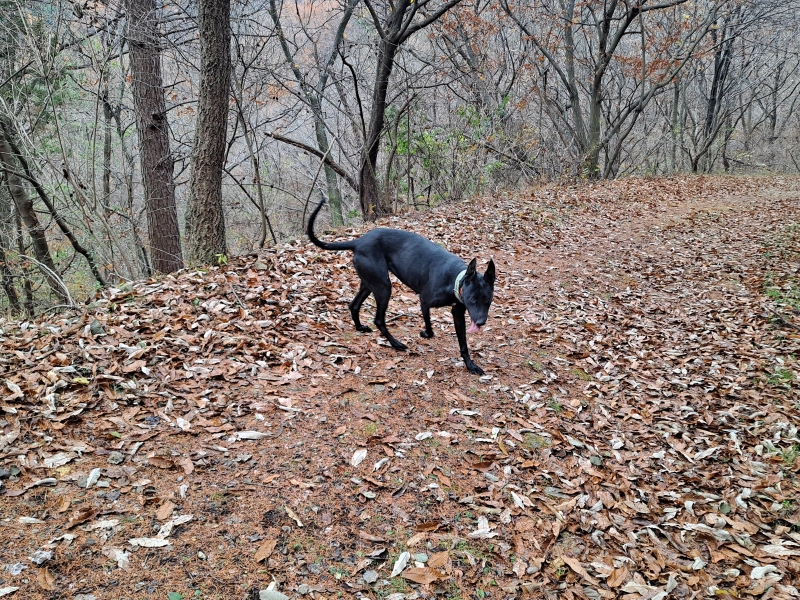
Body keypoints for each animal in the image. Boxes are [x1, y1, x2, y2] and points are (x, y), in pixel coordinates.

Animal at [307, 198, 495, 375]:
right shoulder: (424, 301)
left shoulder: (458, 312)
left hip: (369, 283)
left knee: (354, 305)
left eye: (488, 300)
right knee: (378, 319)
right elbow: (430, 330)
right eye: (472, 299)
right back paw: (395, 343)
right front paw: (424, 334)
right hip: (384, 287)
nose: (481, 322)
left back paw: (360, 327)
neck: (456, 279)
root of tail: (358, 242)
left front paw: (470, 365)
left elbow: (463, 344)